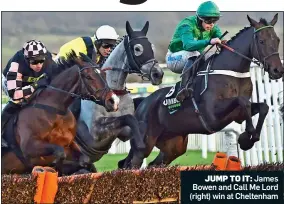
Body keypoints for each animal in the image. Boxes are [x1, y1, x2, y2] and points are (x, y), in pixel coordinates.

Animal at [119, 13, 284, 169]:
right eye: (261, 41)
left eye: (277, 40)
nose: (277, 70)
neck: (232, 74)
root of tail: (143, 103)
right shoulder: (212, 115)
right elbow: (243, 102)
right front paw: (247, 135)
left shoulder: (236, 114)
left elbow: (263, 107)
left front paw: (249, 138)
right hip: (145, 143)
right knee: (129, 164)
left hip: (173, 145)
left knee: (153, 164)